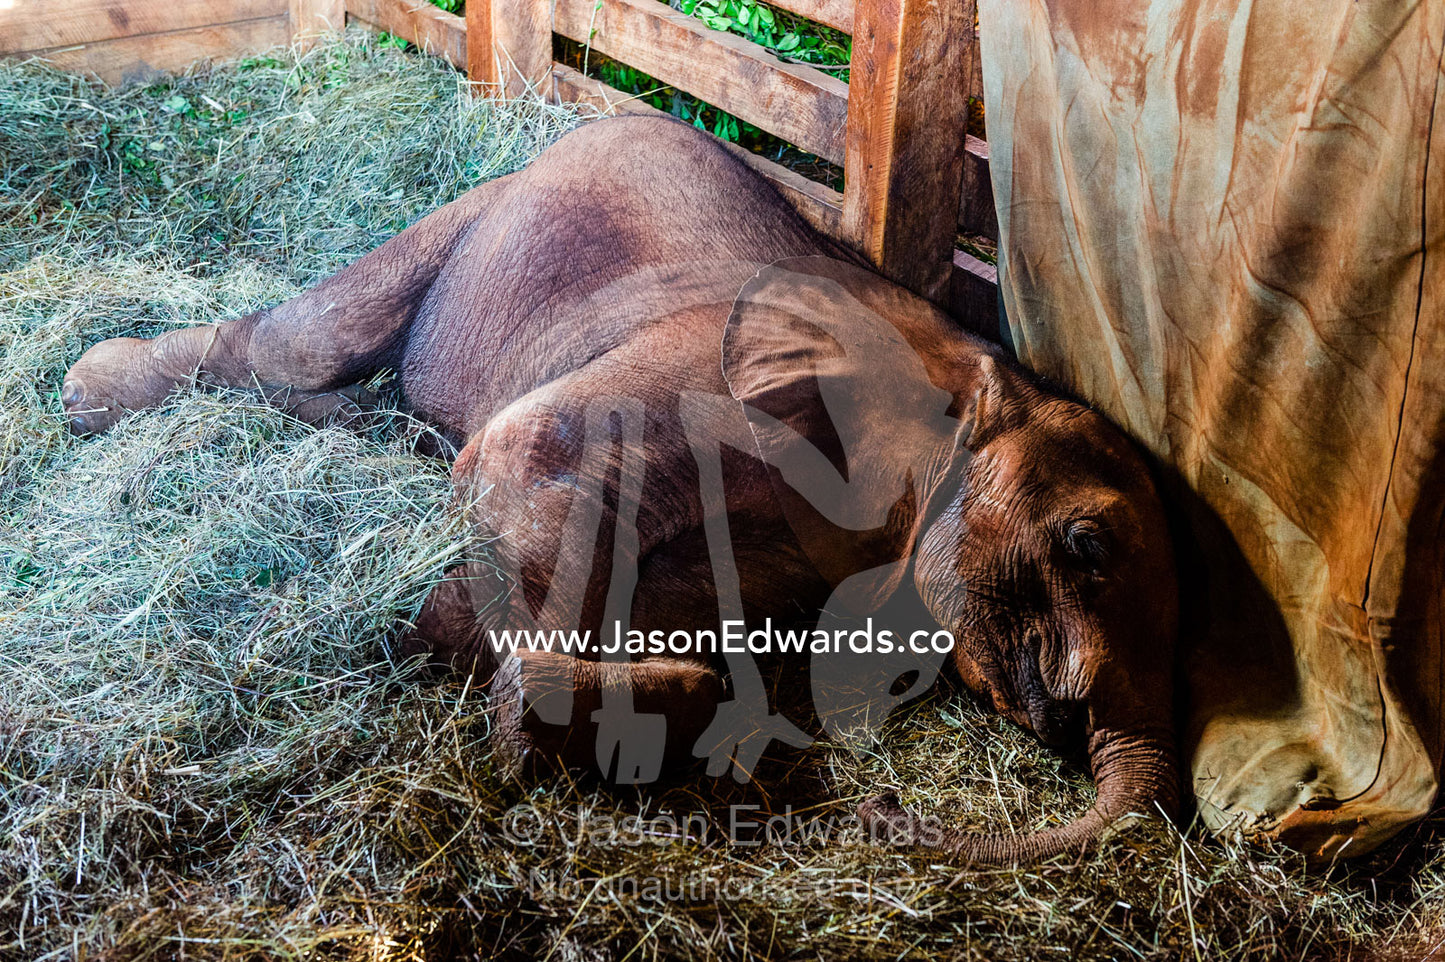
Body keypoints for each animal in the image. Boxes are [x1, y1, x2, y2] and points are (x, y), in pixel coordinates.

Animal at [60, 115, 1179, 865]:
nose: (883, 814)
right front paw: (465, 652)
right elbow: (533, 454)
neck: (965, 362)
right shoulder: (713, 382)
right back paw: (85, 395)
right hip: (486, 214)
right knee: (300, 342)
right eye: (1085, 543)